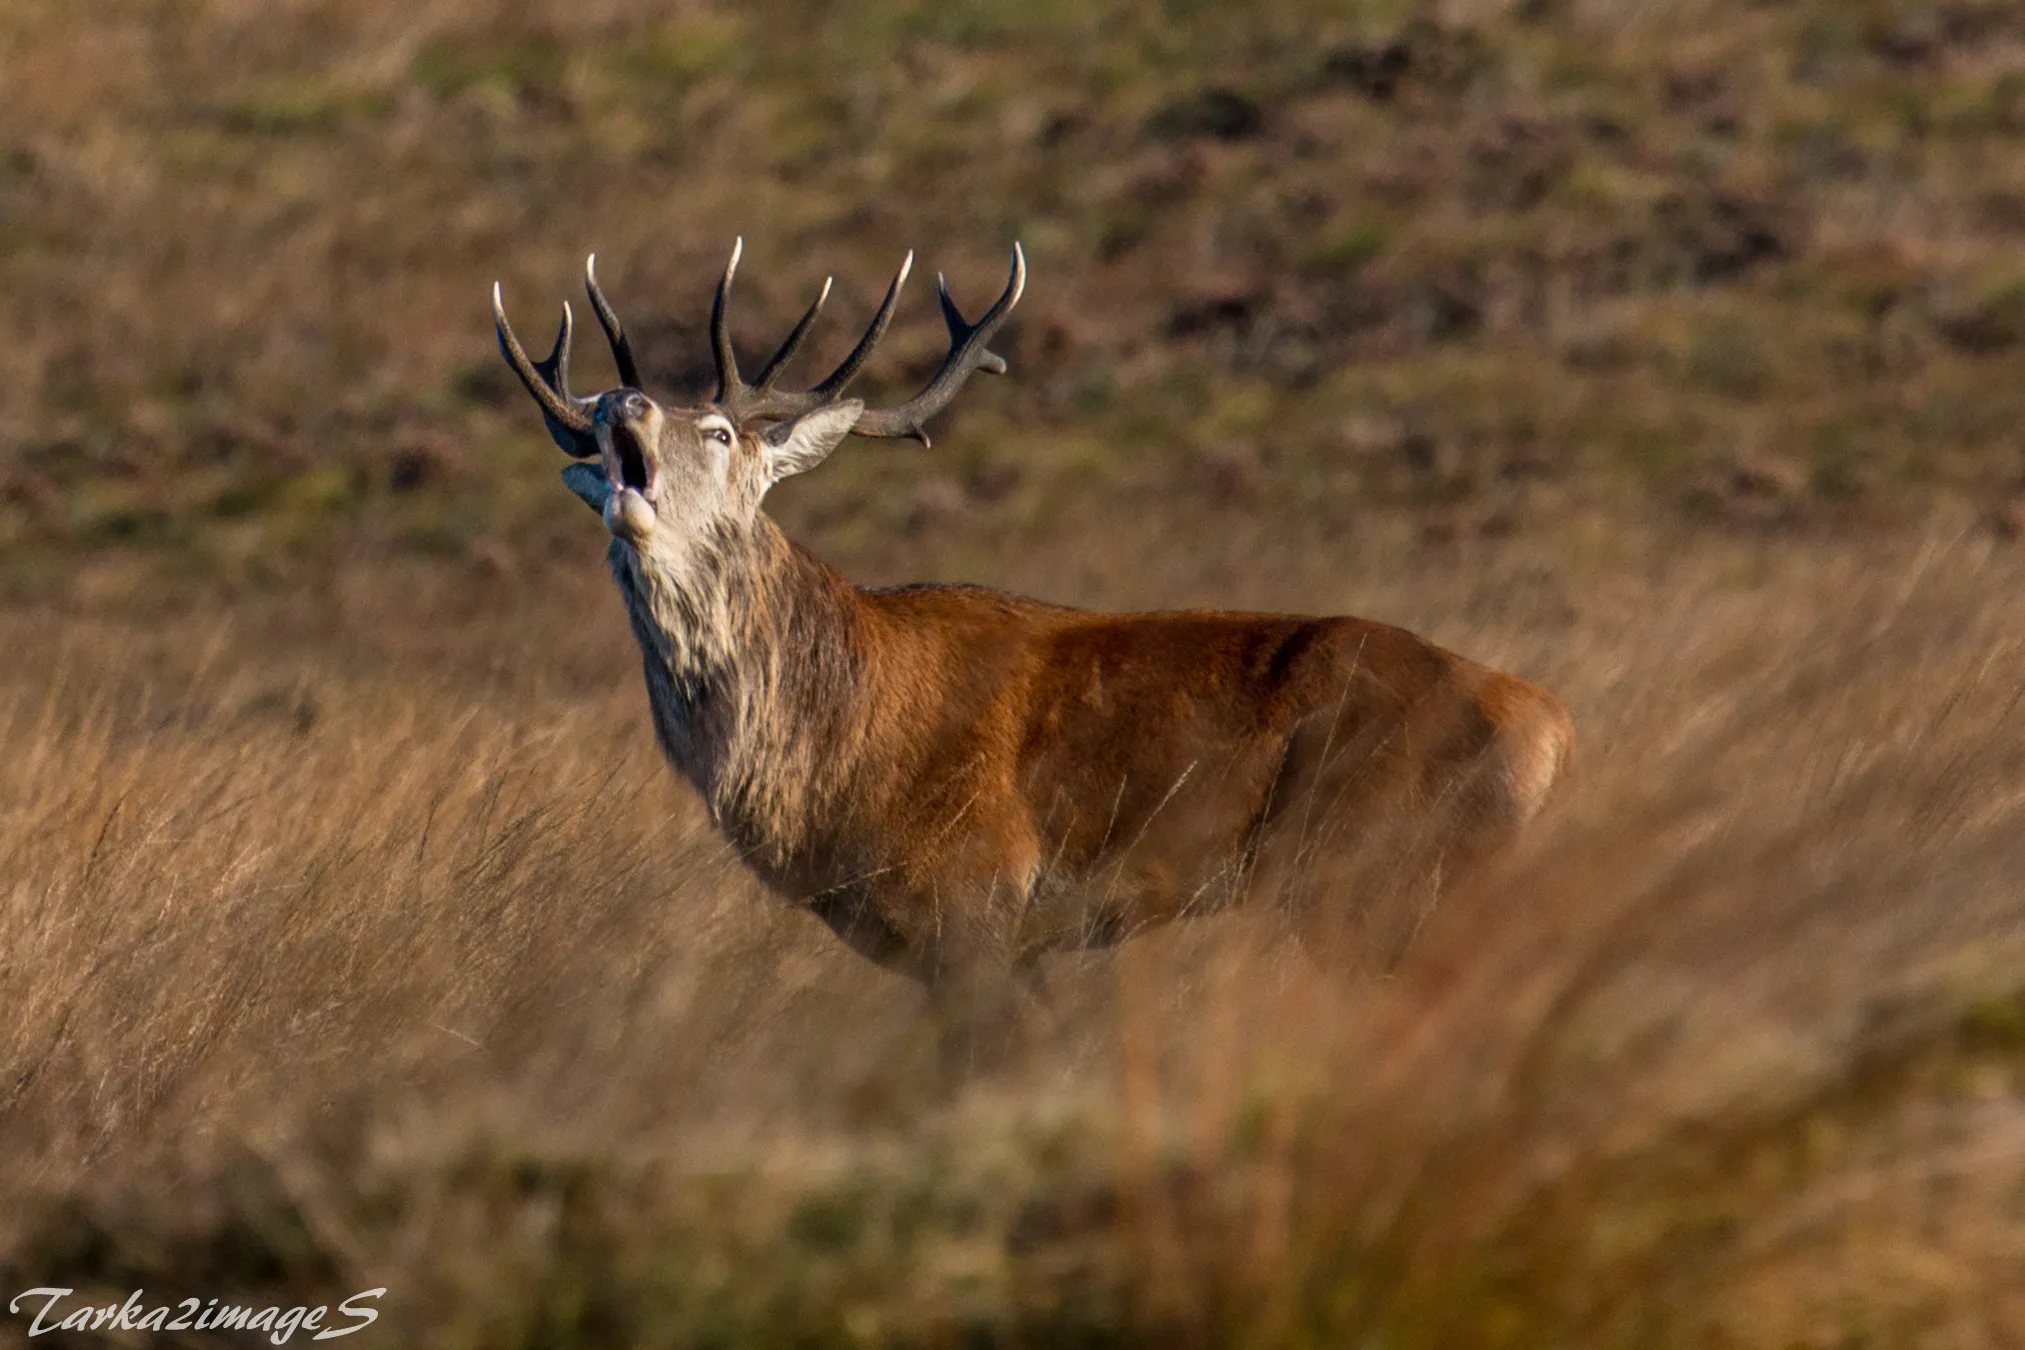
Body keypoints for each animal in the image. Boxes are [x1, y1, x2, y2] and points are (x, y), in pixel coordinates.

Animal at [491, 239, 1572, 1054]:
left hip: (1382, 870)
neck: (831, 757)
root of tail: (1549, 723)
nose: (619, 402)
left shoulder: (974, 902)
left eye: (718, 430)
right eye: (607, 422)